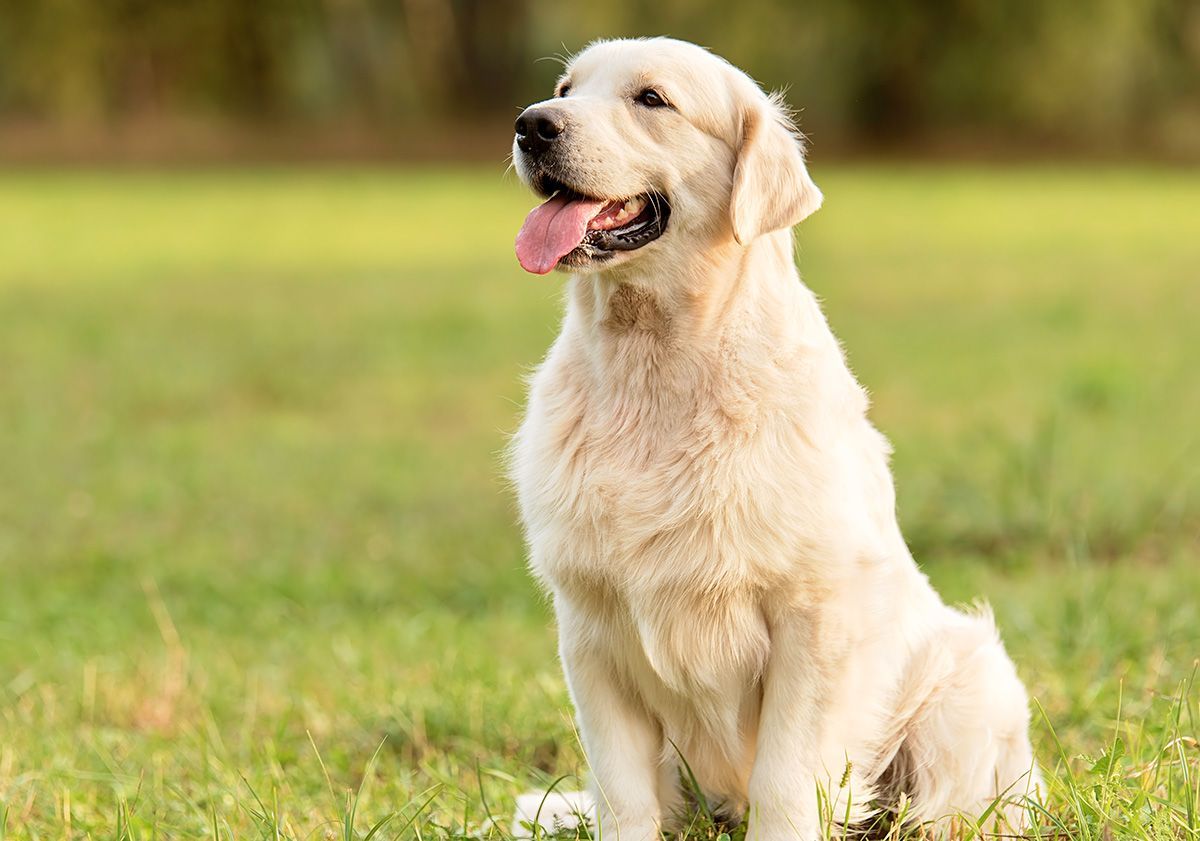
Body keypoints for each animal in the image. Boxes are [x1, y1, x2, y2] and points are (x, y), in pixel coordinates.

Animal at [506, 37, 1041, 839]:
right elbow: (623, 792)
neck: (656, 369)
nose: (532, 125)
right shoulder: (592, 627)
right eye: (566, 88)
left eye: (652, 99)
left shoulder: (814, 619)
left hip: (968, 682)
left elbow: (786, 780)